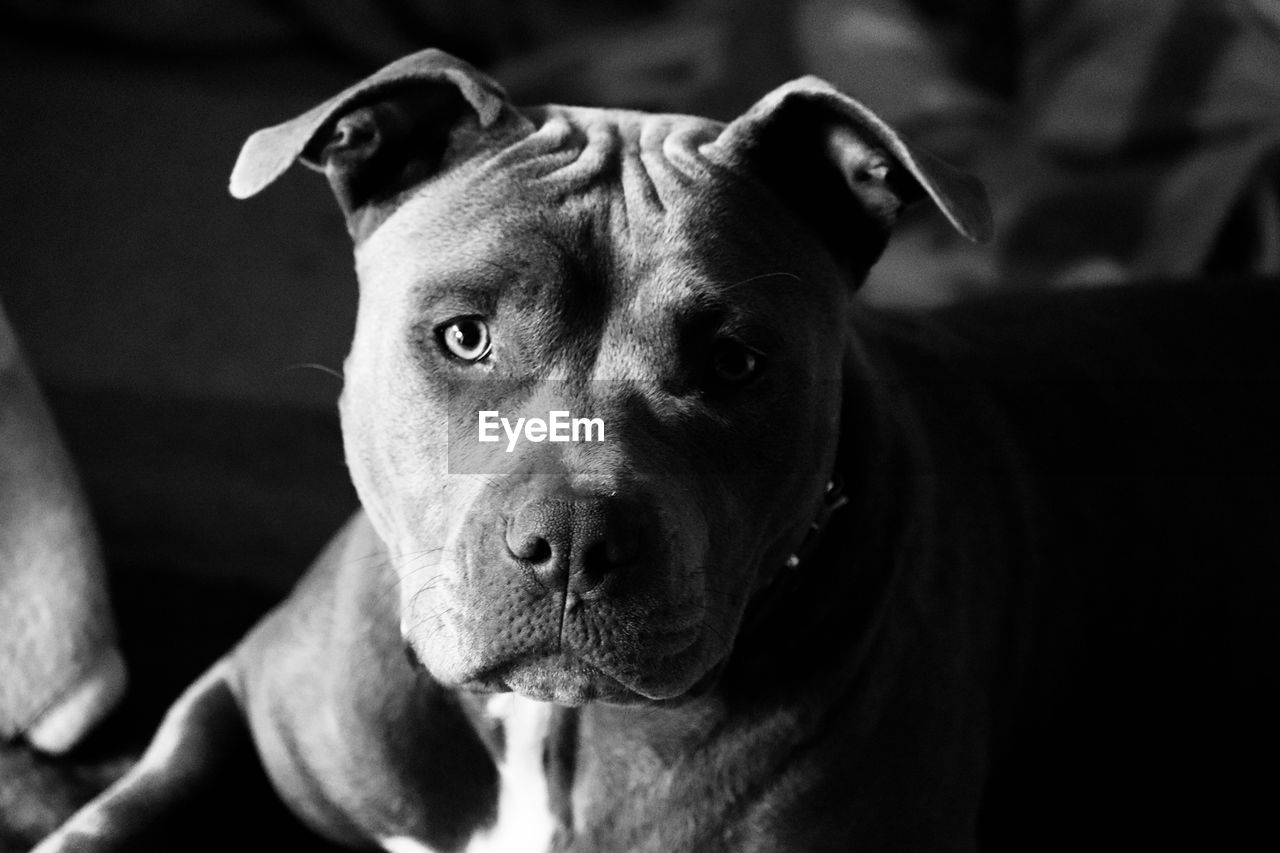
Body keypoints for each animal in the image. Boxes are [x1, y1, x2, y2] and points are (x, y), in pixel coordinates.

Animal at [35, 49, 1274, 845]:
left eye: (733, 363)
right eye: (463, 334)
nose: (571, 544)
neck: (555, 727)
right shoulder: (239, 708)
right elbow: (114, 811)